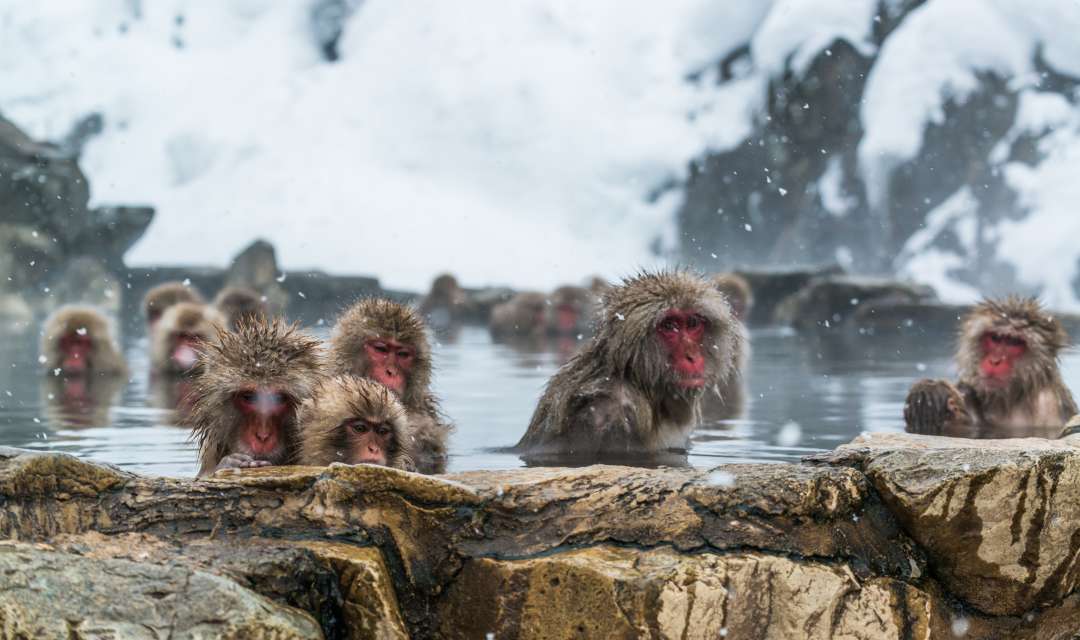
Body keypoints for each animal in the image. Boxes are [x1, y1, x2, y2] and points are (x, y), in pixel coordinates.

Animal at [907, 295, 1075, 440]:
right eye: (995, 338)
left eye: (1014, 342)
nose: (995, 361)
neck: (1010, 398)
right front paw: (931, 395)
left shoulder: (1048, 404)